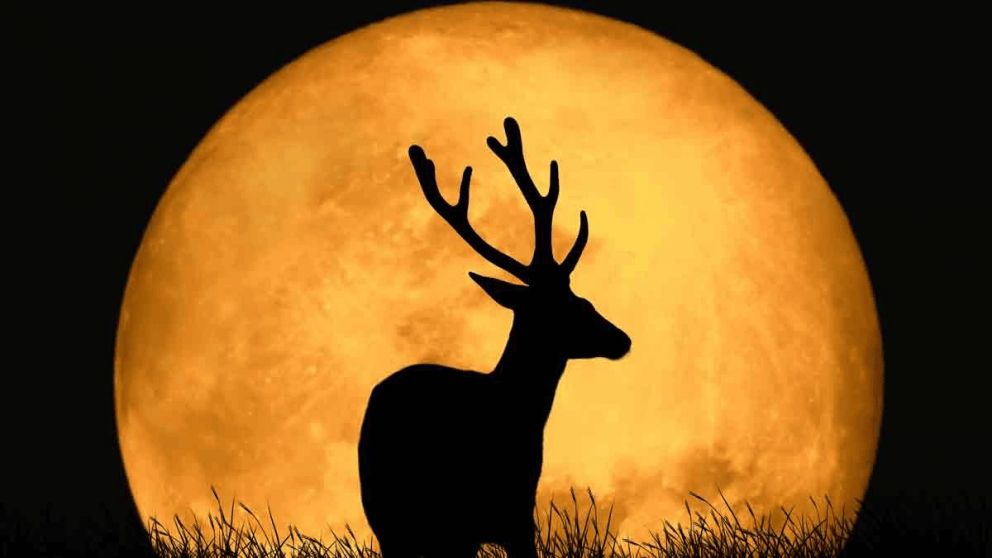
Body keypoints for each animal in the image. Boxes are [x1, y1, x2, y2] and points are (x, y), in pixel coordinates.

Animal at [357, 117, 631, 558]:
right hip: (398, 521)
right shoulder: (510, 518)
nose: (621, 338)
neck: (511, 411)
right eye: (578, 304)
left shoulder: (502, 520)